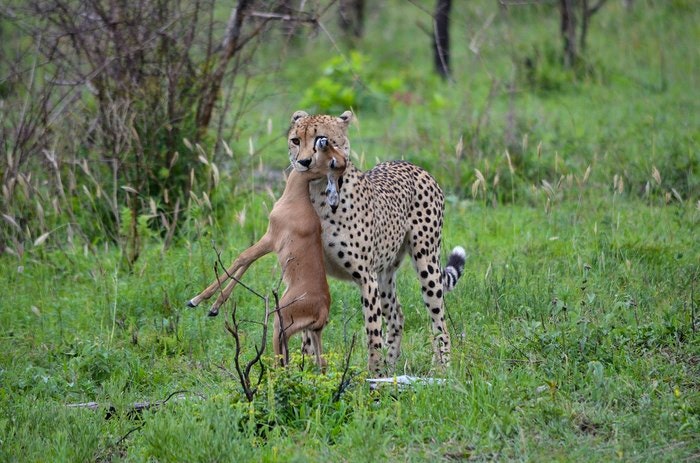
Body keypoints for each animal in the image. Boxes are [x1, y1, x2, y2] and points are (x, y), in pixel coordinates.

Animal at [288, 110, 468, 376]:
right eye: (295, 140)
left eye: (321, 139)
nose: (303, 162)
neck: (318, 194)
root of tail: (409, 164)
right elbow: (306, 330)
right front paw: (305, 371)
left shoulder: (365, 276)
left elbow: (372, 331)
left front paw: (374, 375)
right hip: (385, 273)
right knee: (397, 316)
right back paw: (392, 366)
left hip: (426, 262)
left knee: (439, 322)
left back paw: (441, 369)